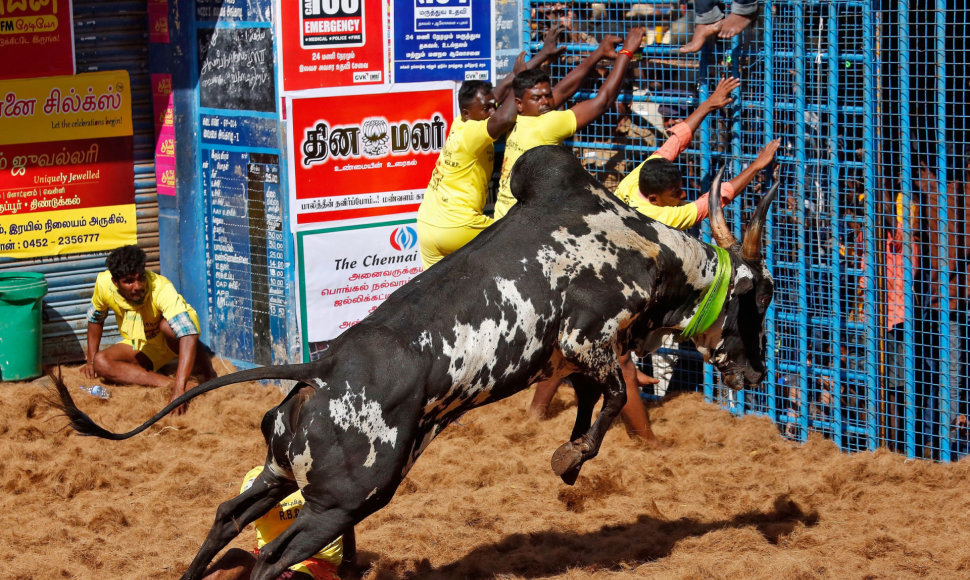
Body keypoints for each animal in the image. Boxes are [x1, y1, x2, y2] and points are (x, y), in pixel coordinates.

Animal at [56, 145, 776, 580]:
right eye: (762, 296)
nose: (756, 376)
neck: (645, 244)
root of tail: (318, 373)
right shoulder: (588, 336)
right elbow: (609, 398)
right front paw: (569, 458)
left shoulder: (581, 352)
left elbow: (591, 399)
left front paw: (569, 459)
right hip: (341, 503)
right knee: (268, 561)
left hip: (281, 473)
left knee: (224, 518)